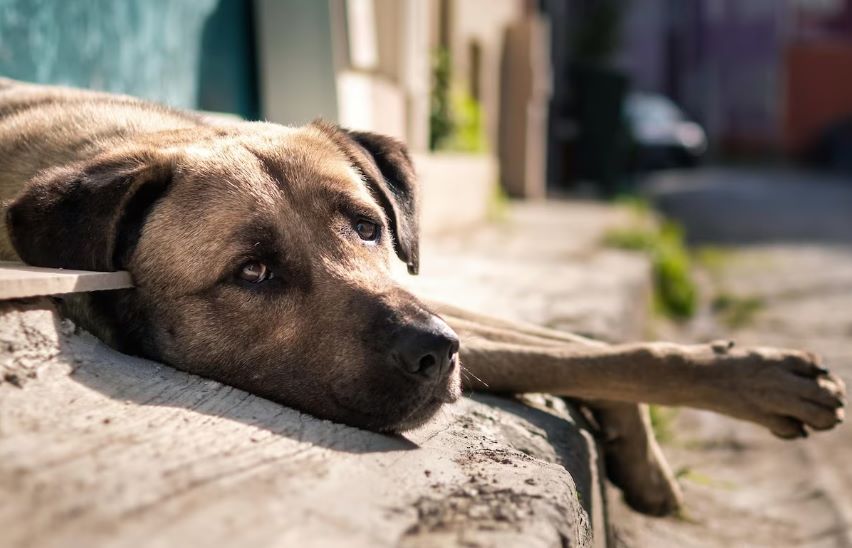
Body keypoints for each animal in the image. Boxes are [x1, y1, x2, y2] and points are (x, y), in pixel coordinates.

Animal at [0, 78, 840, 520]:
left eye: (368, 226)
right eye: (253, 272)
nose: (437, 353)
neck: (117, 143)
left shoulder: (426, 294)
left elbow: (585, 348)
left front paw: (727, 389)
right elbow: (582, 354)